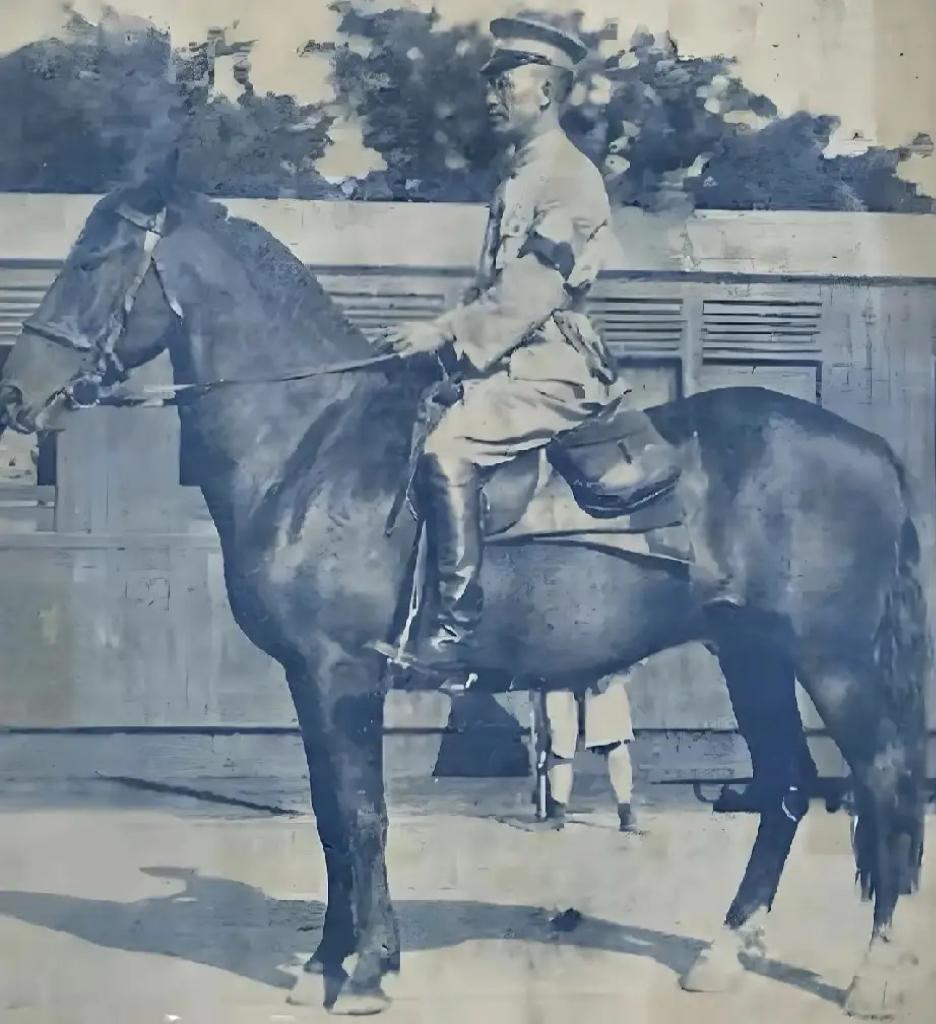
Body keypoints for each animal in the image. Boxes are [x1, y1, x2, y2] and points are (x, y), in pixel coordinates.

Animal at [0, 183, 927, 1018]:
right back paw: (723, 954)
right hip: (752, 654)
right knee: (785, 783)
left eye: (91, 261)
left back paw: (877, 972)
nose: (15, 396)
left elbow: (361, 816)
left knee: (883, 779)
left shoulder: (341, 675)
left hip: (831, 660)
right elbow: (332, 819)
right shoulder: (310, 681)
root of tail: (871, 447)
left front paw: (367, 972)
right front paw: (328, 964)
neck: (315, 443)